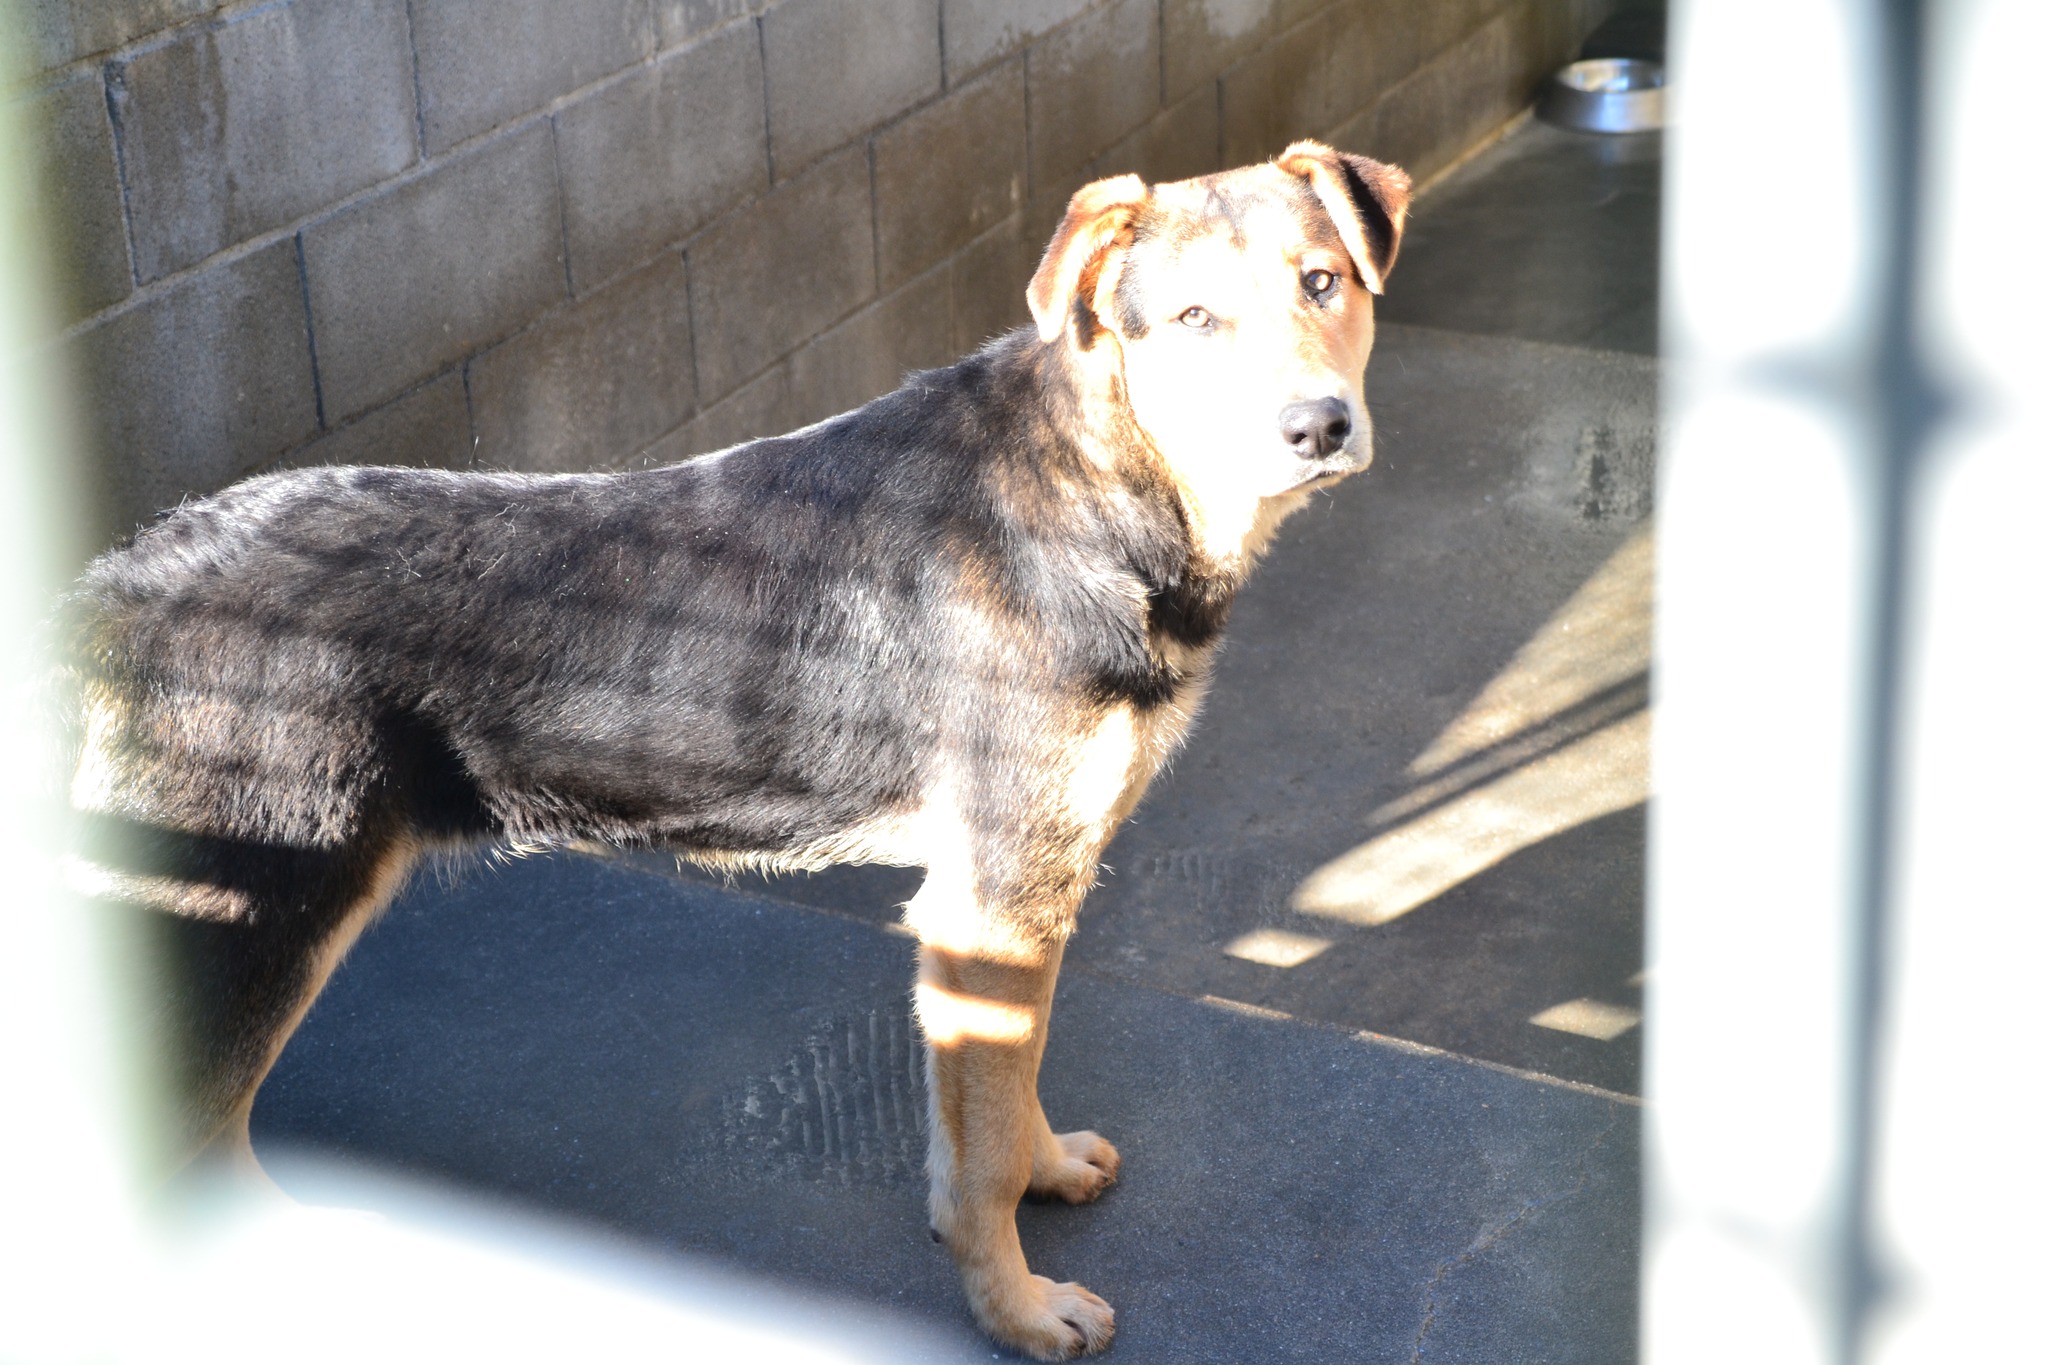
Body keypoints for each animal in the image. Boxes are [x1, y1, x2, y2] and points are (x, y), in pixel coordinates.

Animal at [63, 139, 1408, 1361]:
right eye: (1191, 318)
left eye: (1324, 282)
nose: (1319, 427)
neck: (1108, 476)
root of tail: (130, 580)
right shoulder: (991, 900)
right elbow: (974, 1157)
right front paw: (1020, 1314)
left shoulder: (1013, 905)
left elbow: (1004, 1088)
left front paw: (1045, 1171)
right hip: (253, 922)